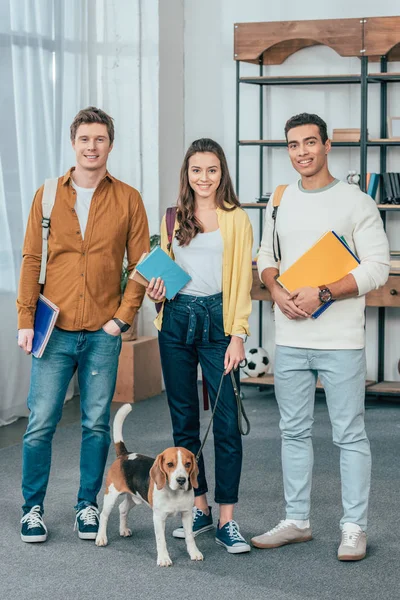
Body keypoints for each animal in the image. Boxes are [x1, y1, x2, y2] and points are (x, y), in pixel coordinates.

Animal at [94, 404, 203, 568]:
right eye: (170, 464)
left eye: (188, 464)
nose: (181, 480)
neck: (174, 493)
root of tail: (125, 454)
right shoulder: (158, 517)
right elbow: (161, 540)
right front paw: (164, 558)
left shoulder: (187, 514)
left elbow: (189, 536)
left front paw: (194, 553)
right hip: (111, 494)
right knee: (104, 515)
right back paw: (101, 538)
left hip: (134, 497)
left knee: (122, 508)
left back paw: (123, 530)